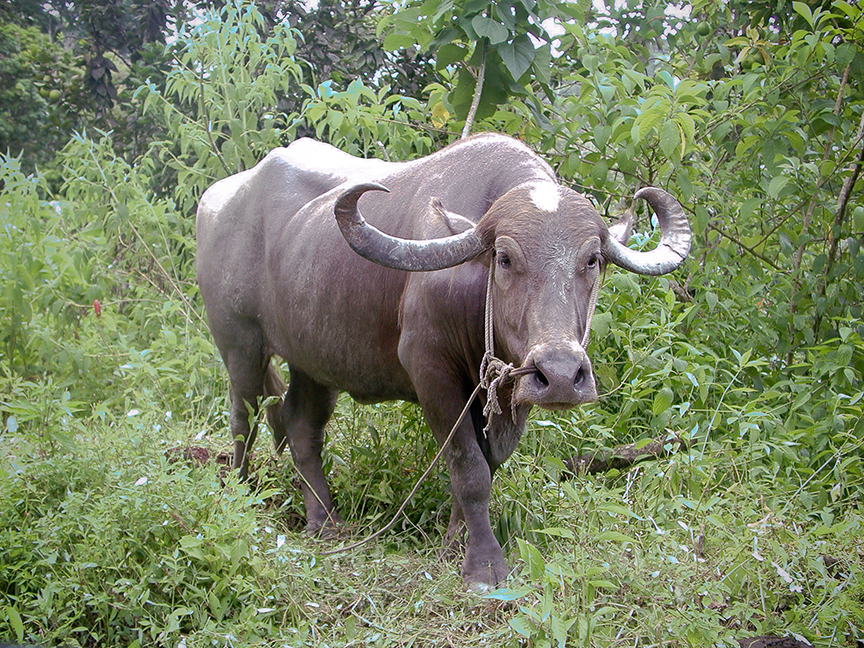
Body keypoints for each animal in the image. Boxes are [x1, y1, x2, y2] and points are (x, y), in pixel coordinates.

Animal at [196, 134, 688, 588]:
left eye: (592, 259)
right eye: (505, 258)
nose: (562, 375)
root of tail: (218, 199)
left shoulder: (506, 391)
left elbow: (486, 464)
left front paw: (454, 543)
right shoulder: (430, 370)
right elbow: (468, 467)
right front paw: (484, 564)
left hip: (314, 360)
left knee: (300, 425)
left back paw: (325, 521)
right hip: (239, 343)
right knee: (244, 417)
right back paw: (241, 493)